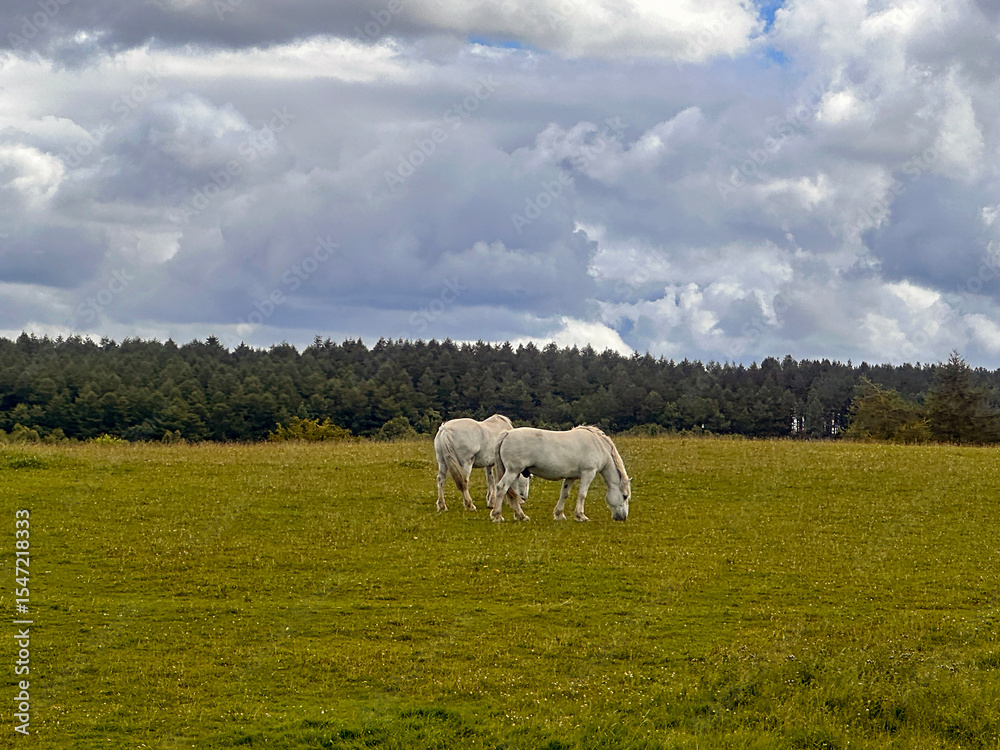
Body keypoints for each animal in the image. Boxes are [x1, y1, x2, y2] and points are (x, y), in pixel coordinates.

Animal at [490, 425, 630, 522]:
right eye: (624, 496)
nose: (623, 517)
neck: (598, 445)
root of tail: (507, 433)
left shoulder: (570, 477)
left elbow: (564, 494)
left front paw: (559, 514)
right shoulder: (588, 473)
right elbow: (582, 494)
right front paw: (581, 516)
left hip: (515, 473)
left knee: (512, 493)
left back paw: (521, 516)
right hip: (512, 471)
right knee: (502, 488)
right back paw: (497, 515)